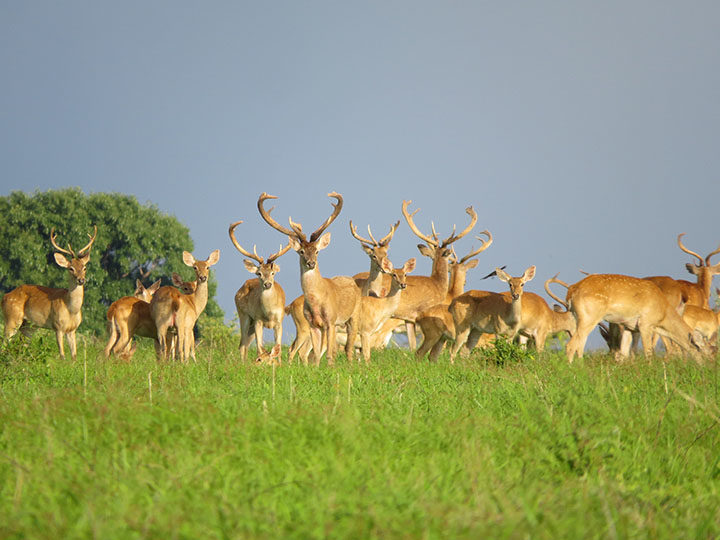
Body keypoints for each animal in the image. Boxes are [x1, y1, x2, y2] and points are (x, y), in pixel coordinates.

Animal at [2, 226, 97, 360]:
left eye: (84, 267)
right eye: (71, 268)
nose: (81, 280)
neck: (71, 309)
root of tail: (5, 296)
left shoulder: (72, 330)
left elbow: (74, 356)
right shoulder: (58, 326)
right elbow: (62, 355)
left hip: (29, 326)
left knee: (22, 345)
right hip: (12, 318)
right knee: (5, 342)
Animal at [229, 220, 291, 362]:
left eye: (273, 273)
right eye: (259, 273)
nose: (267, 284)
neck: (269, 313)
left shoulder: (279, 321)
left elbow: (278, 348)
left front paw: (278, 364)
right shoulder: (258, 319)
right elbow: (259, 348)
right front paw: (261, 361)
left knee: (245, 344)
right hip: (244, 316)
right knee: (242, 344)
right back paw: (243, 363)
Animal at [258, 191, 360, 366]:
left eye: (317, 251)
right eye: (301, 252)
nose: (311, 263)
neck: (316, 303)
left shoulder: (331, 321)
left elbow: (329, 355)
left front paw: (331, 368)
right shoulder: (313, 324)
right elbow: (316, 355)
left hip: (353, 316)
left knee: (348, 347)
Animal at [544, 273, 711, 362]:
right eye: (700, 347)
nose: (705, 367)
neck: (663, 314)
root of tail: (571, 290)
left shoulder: (629, 327)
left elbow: (624, 354)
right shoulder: (645, 324)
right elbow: (648, 352)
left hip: (576, 318)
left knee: (579, 344)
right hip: (589, 317)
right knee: (572, 345)